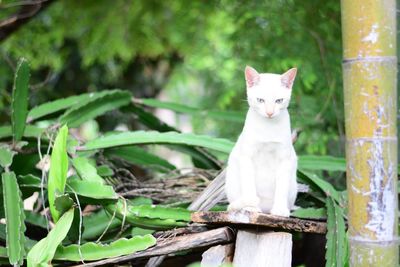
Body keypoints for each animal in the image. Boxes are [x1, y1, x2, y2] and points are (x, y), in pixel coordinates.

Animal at [225, 65, 296, 218]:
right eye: (260, 100)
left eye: (279, 101)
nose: (269, 113)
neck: (267, 128)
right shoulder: (247, 157)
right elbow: (249, 186)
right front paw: (251, 208)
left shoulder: (285, 159)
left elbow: (281, 188)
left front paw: (280, 210)